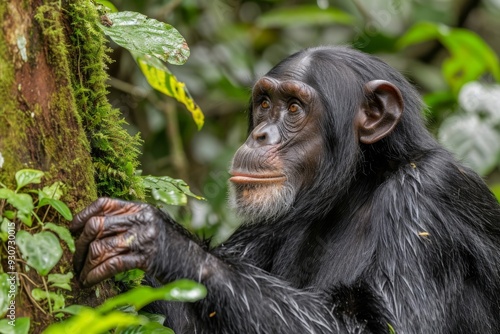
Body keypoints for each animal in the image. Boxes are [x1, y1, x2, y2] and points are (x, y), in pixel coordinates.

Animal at [70, 45, 500, 332]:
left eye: (294, 108)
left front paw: (158, 238)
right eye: (264, 103)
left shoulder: (429, 194)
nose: (260, 135)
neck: (355, 188)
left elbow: (389, 325)